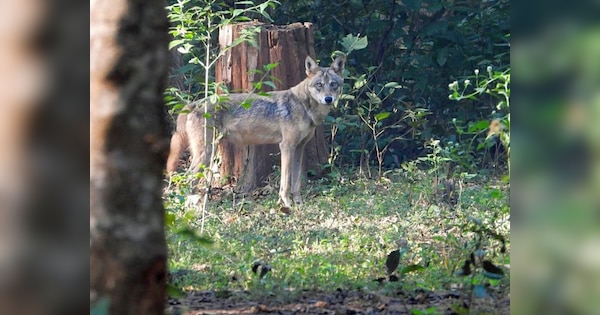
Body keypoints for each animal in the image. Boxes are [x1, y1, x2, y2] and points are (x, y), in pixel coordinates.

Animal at [168, 55, 346, 207]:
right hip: (206, 153)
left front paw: (299, 204)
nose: (328, 99)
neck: (304, 106)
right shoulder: (286, 147)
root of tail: (193, 104)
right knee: (187, 177)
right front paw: (286, 204)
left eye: (333, 84)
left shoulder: (299, 148)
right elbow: (285, 183)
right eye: (319, 85)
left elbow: (296, 183)